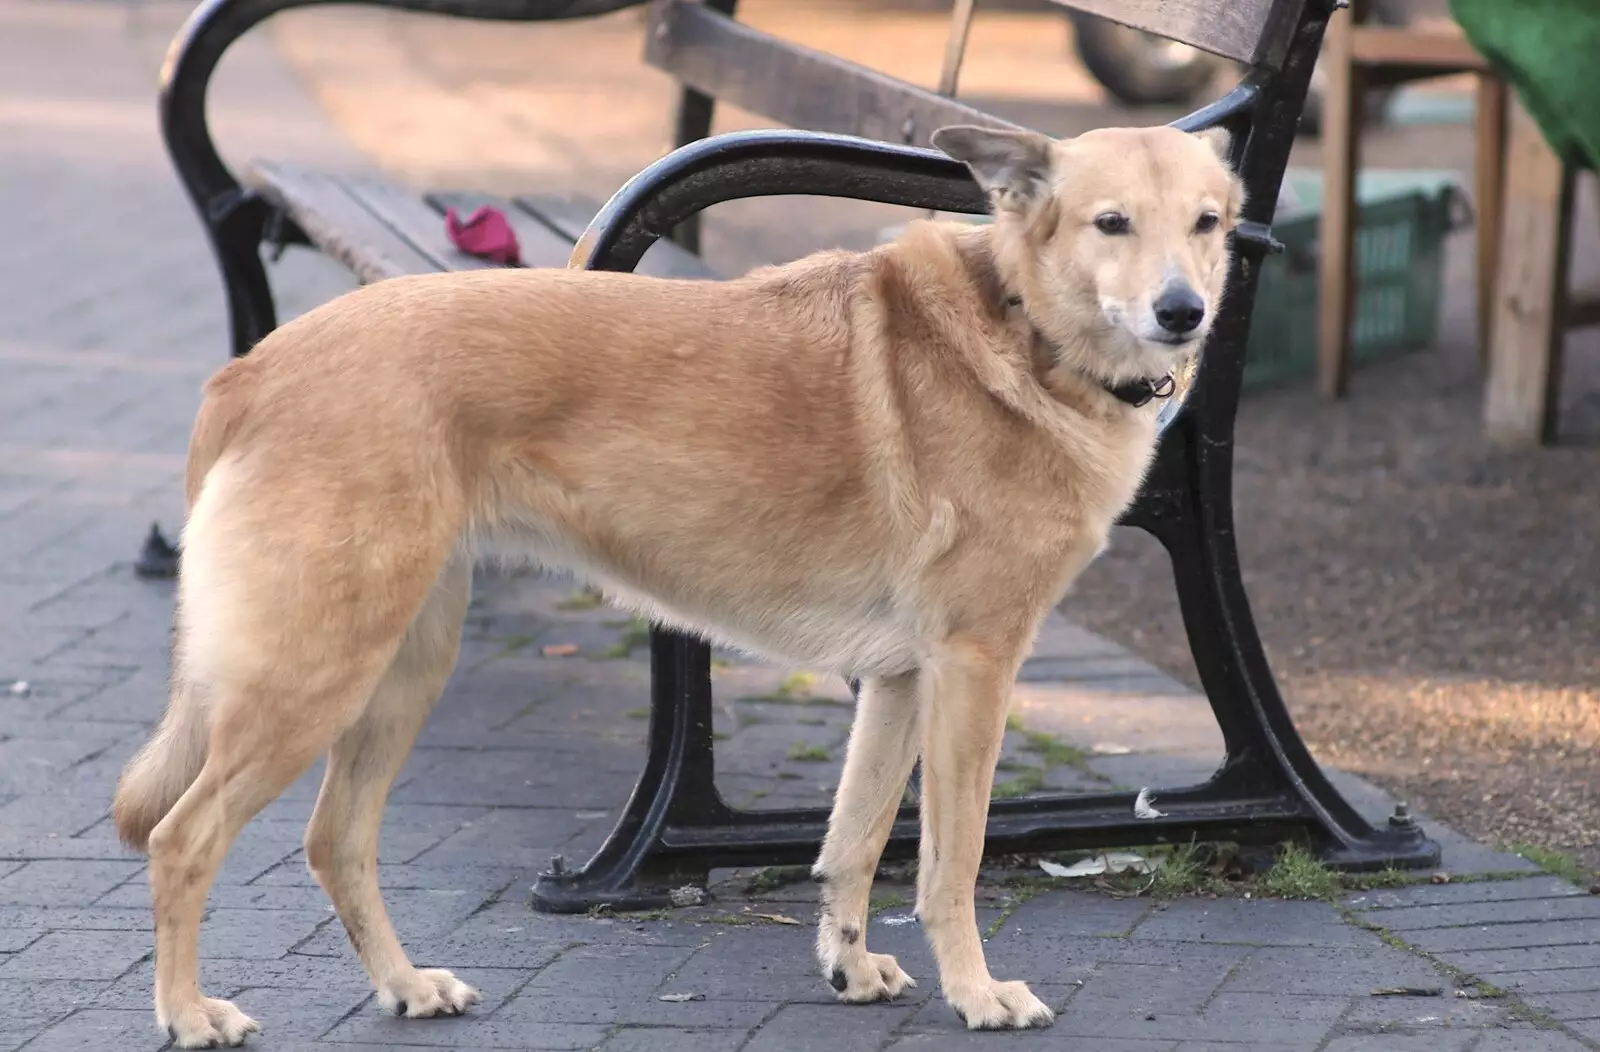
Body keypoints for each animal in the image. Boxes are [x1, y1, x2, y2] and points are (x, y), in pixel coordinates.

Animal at [116, 123, 1235, 1042]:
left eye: (1209, 222)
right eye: (1110, 223)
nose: (1183, 312)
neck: (1022, 329)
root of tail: (256, 368)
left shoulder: (902, 679)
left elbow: (857, 838)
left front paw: (847, 963)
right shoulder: (974, 666)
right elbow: (949, 857)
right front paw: (977, 991)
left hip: (399, 667)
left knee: (334, 839)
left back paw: (403, 985)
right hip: (316, 675)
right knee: (182, 838)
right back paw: (188, 1012)